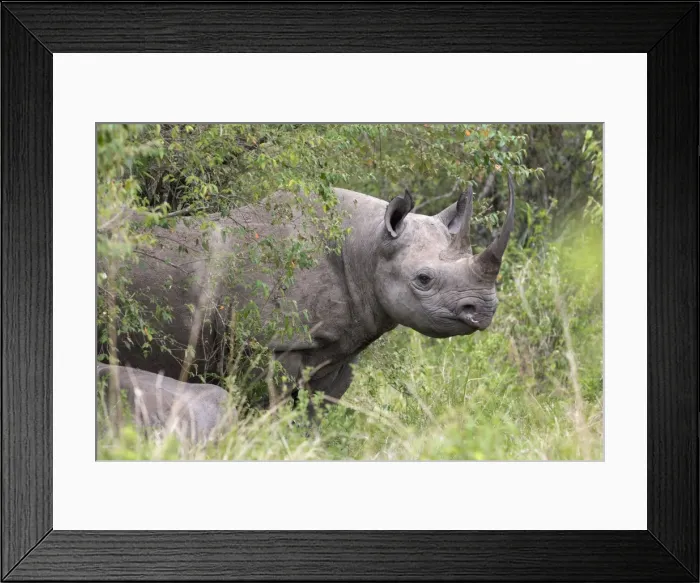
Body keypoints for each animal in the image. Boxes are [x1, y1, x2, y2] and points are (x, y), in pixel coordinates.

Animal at [109, 174, 515, 404]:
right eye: (424, 279)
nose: (484, 310)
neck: (367, 246)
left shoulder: (341, 346)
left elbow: (316, 413)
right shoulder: (273, 342)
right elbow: (266, 409)